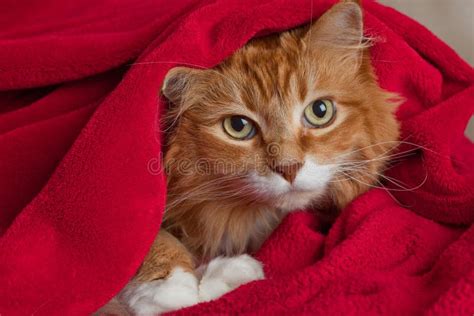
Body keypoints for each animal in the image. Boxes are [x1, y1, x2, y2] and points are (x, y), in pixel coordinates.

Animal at [115, 1, 400, 314]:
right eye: (238, 126)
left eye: (320, 111)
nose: (289, 168)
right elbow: (148, 241)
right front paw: (172, 288)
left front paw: (226, 275)